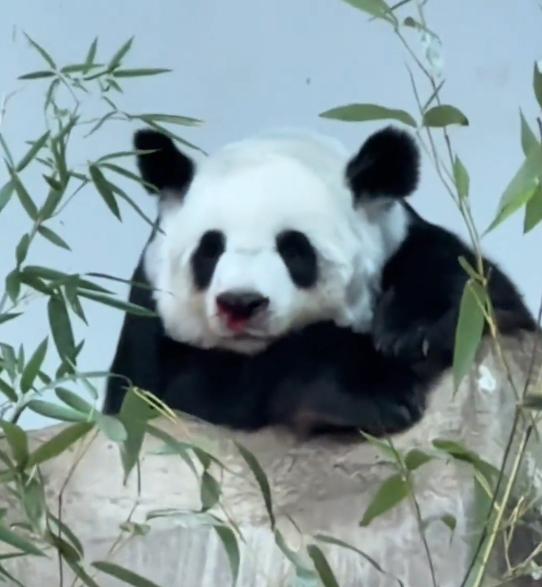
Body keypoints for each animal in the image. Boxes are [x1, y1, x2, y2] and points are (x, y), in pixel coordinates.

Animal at [104, 125, 536, 436]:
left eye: (294, 249)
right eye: (210, 249)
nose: (240, 304)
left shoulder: (403, 241)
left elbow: (475, 290)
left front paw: (416, 332)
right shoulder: (151, 325)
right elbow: (181, 390)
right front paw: (378, 391)